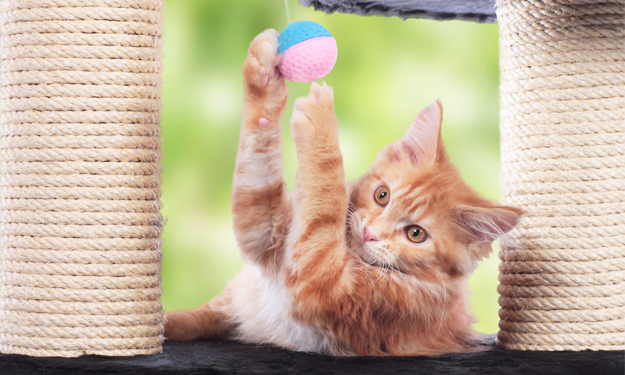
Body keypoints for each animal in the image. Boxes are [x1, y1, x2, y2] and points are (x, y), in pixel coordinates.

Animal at [162, 30, 520, 356]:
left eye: (416, 234)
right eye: (382, 195)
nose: (371, 233)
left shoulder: (331, 289)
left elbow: (325, 198)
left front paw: (322, 123)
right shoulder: (267, 230)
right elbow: (259, 162)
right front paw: (264, 78)